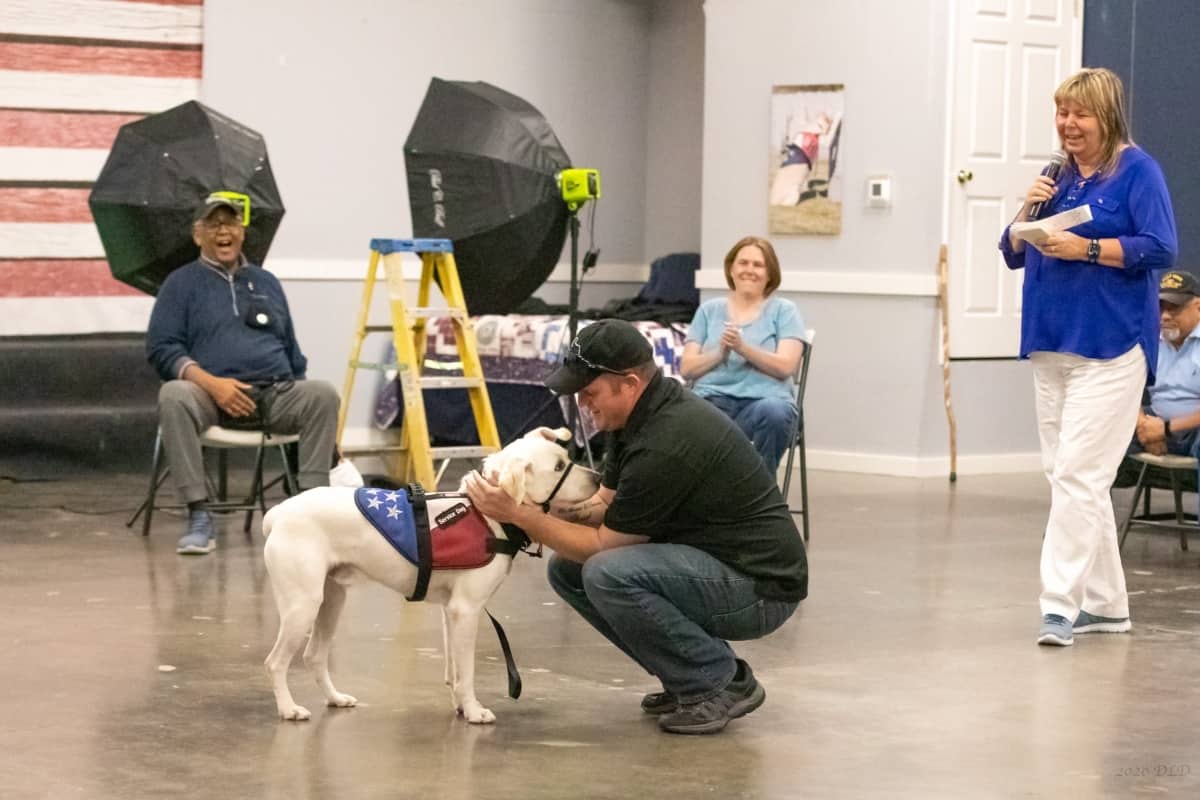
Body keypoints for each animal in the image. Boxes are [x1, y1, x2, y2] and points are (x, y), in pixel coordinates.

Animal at [264, 431, 600, 724]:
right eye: (558, 467)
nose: (598, 478)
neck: (488, 517)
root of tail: (277, 513)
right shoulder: (466, 611)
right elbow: (467, 672)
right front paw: (474, 711)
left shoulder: (450, 612)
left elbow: (454, 672)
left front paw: (461, 707)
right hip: (302, 606)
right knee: (276, 662)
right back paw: (289, 709)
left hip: (331, 602)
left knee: (314, 656)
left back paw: (335, 698)